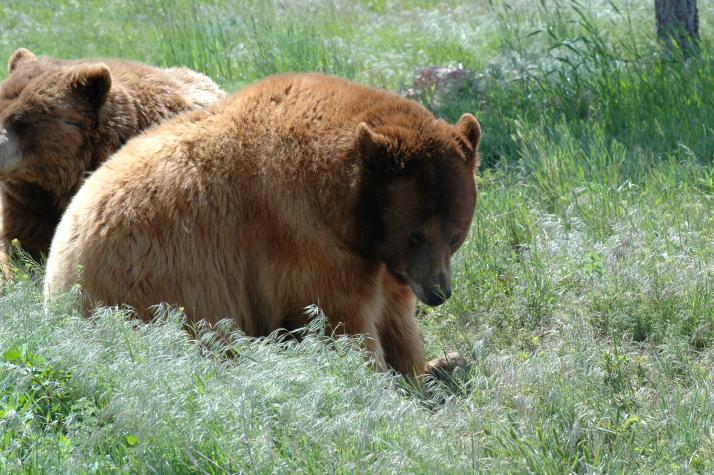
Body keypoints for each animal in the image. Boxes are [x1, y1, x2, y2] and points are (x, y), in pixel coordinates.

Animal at [43, 73, 478, 380]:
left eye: (456, 235)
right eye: (416, 235)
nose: (439, 292)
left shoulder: (379, 259)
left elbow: (395, 315)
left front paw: (428, 365)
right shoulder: (300, 233)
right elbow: (339, 316)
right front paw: (378, 379)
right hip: (151, 292)